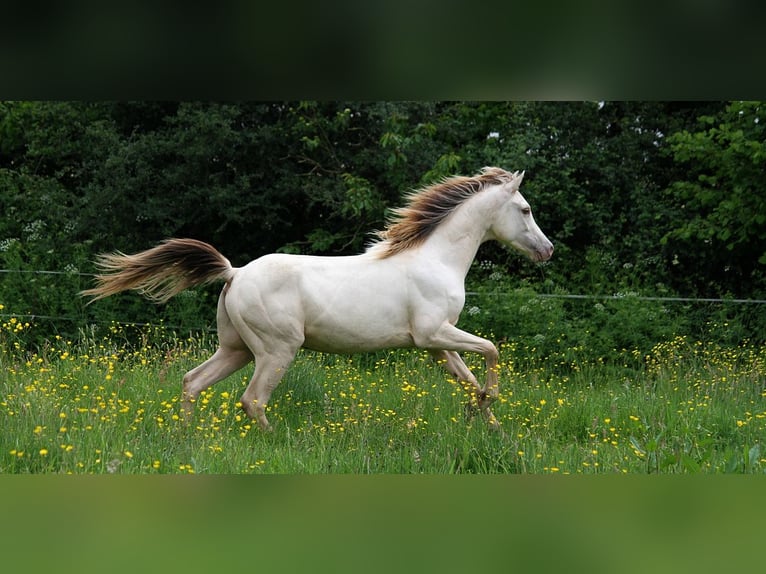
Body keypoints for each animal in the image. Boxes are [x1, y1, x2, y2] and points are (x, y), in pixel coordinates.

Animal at [82, 168, 552, 432]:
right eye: (526, 209)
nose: (547, 250)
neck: (435, 259)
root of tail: (235, 273)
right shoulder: (434, 333)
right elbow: (491, 350)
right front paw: (490, 407)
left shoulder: (437, 345)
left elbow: (469, 379)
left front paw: (490, 423)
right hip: (277, 350)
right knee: (252, 400)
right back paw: (276, 440)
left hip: (236, 349)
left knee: (192, 382)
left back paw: (185, 440)